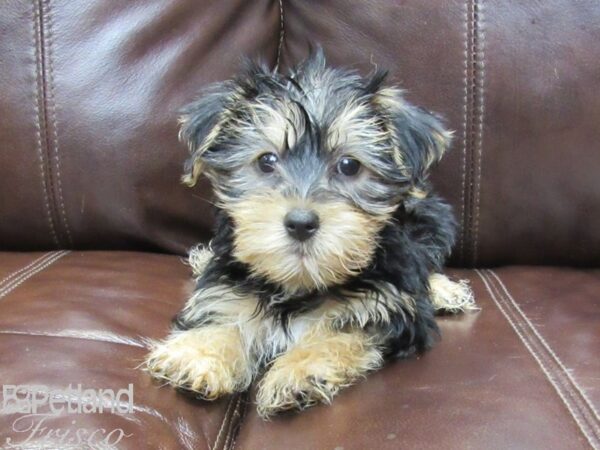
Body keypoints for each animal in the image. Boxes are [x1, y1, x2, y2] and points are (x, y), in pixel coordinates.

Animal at [145, 48, 474, 418]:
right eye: (266, 161)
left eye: (349, 165)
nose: (301, 222)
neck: (298, 283)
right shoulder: (226, 292)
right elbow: (224, 316)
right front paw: (200, 355)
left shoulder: (387, 310)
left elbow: (340, 333)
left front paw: (300, 371)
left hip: (432, 218)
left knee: (425, 262)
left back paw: (445, 291)